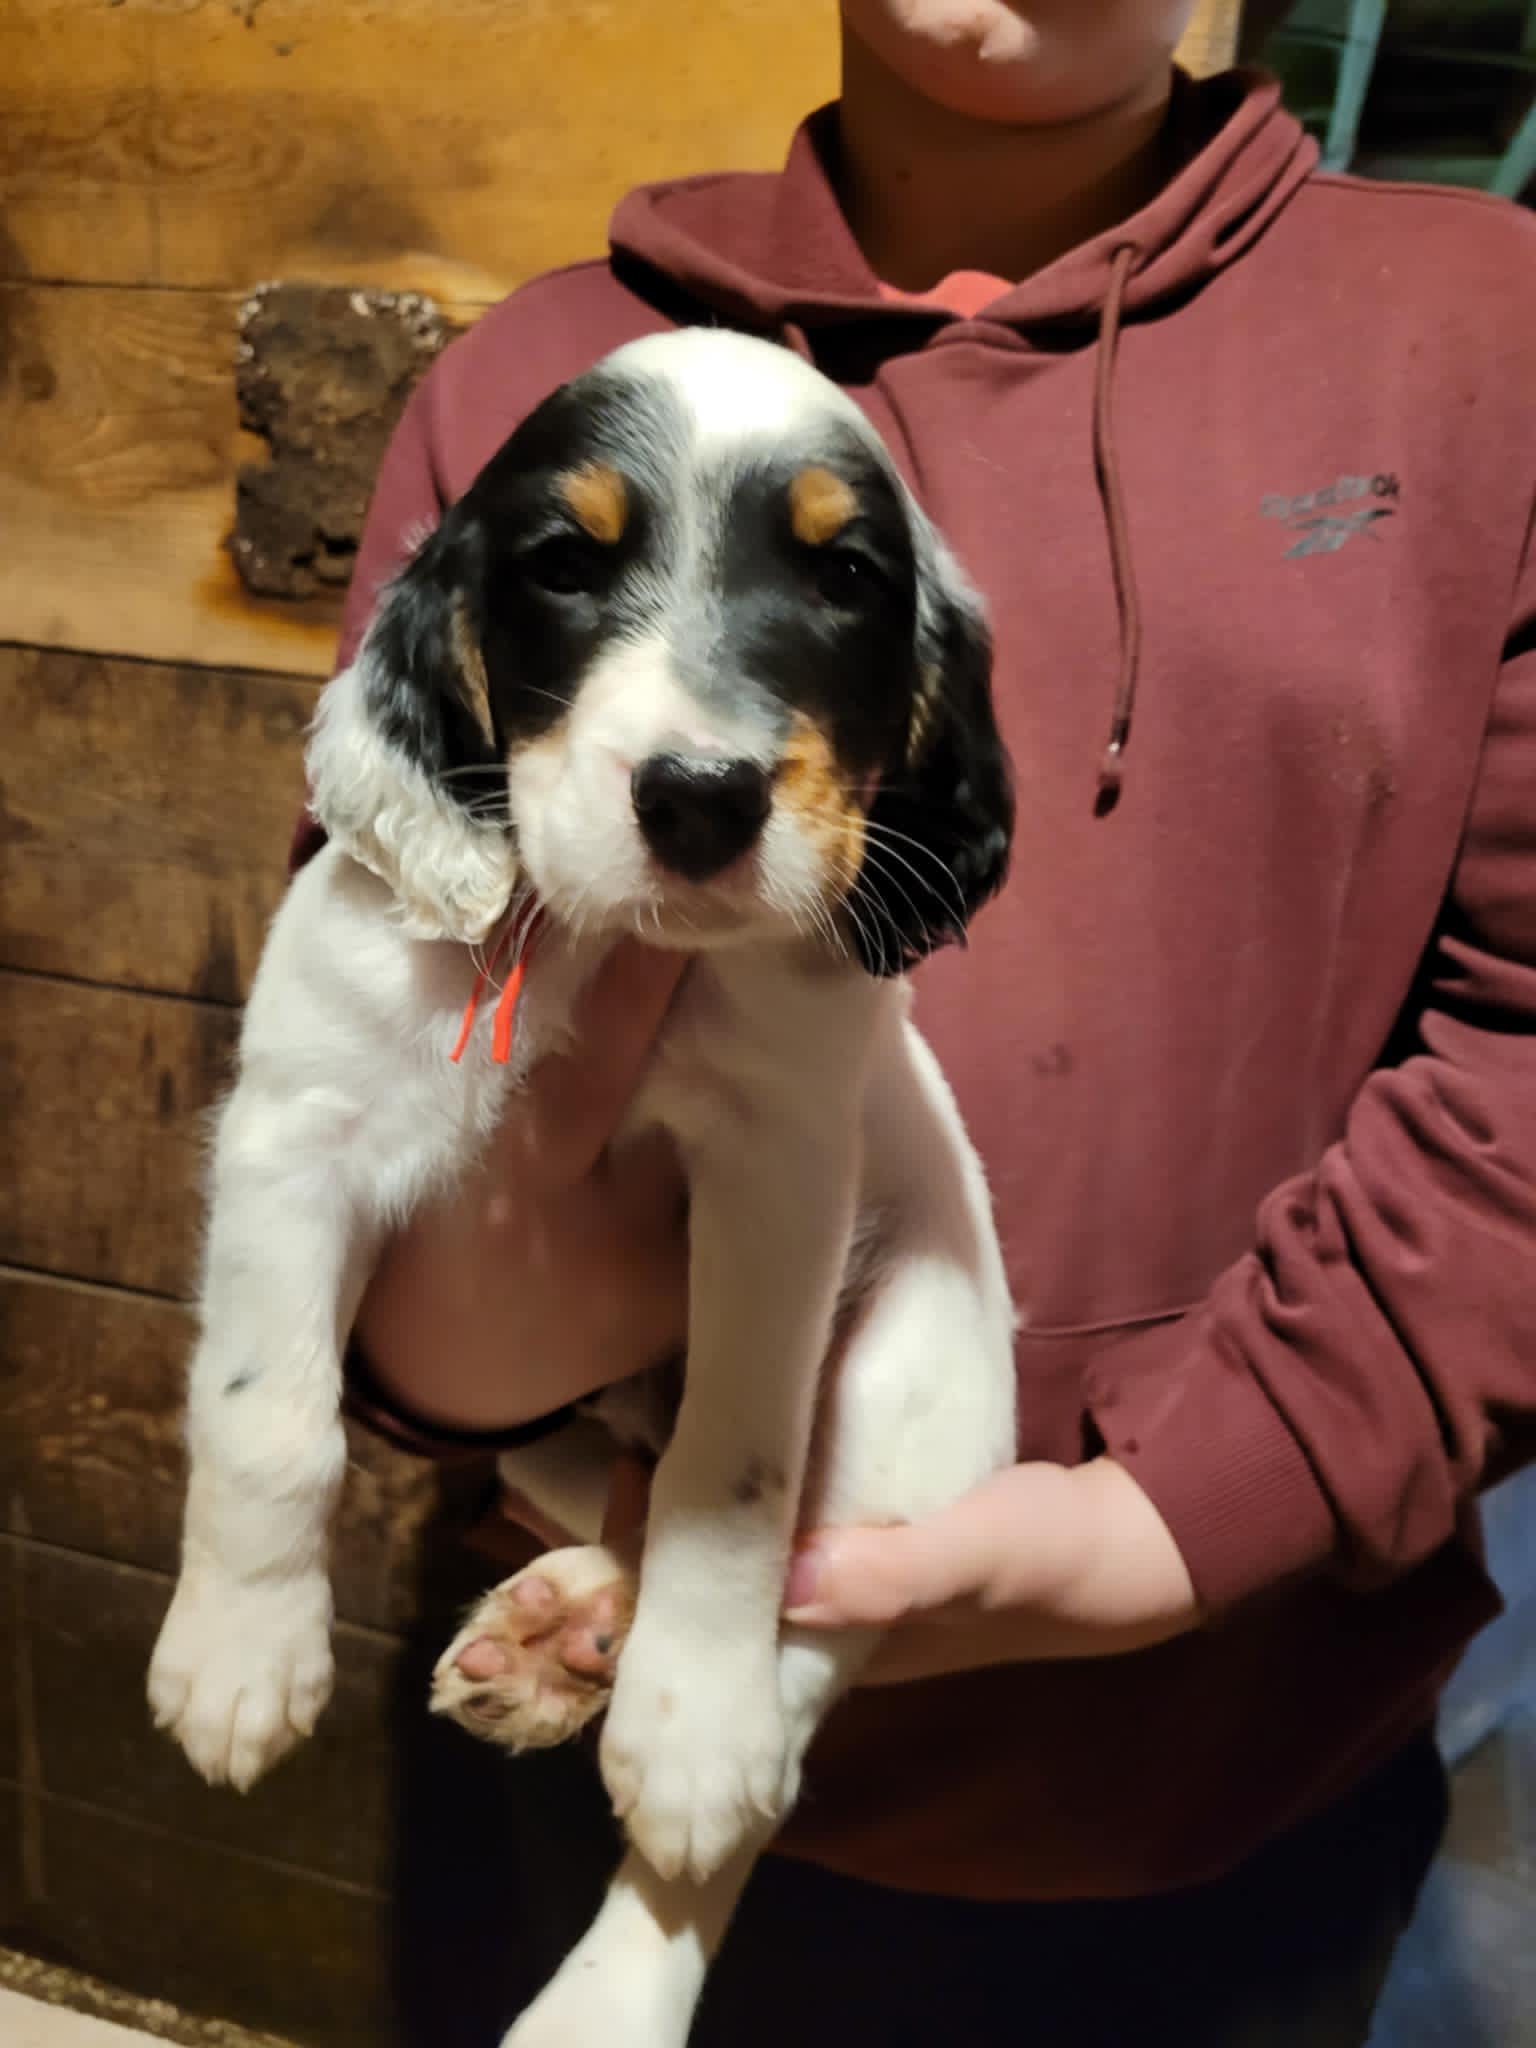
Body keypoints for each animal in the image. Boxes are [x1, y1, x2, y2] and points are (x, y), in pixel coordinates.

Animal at [148, 328, 1019, 2046]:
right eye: (562, 563)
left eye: (848, 575)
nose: (701, 796)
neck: (608, 956)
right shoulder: (295, 1126)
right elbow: (265, 1418)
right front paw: (238, 1648)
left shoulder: (777, 1187)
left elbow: (734, 1480)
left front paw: (689, 1723)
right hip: (556, 1426)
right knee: (619, 1489)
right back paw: (560, 1633)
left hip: (918, 1396)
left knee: (800, 1658)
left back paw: (617, 1946)